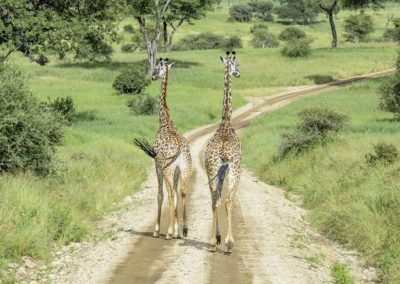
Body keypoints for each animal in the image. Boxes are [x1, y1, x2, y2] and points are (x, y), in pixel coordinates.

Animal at [134, 58, 192, 240]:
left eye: (158, 69)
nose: (152, 76)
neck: (165, 120)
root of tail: (180, 149)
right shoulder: (177, 170)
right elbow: (176, 194)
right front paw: (176, 230)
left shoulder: (157, 165)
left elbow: (160, 195)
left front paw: (158, 230)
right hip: (186, 168)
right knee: (183, 191)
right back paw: (183, 230)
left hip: (167, 168)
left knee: (171, 194)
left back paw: (167, 233)